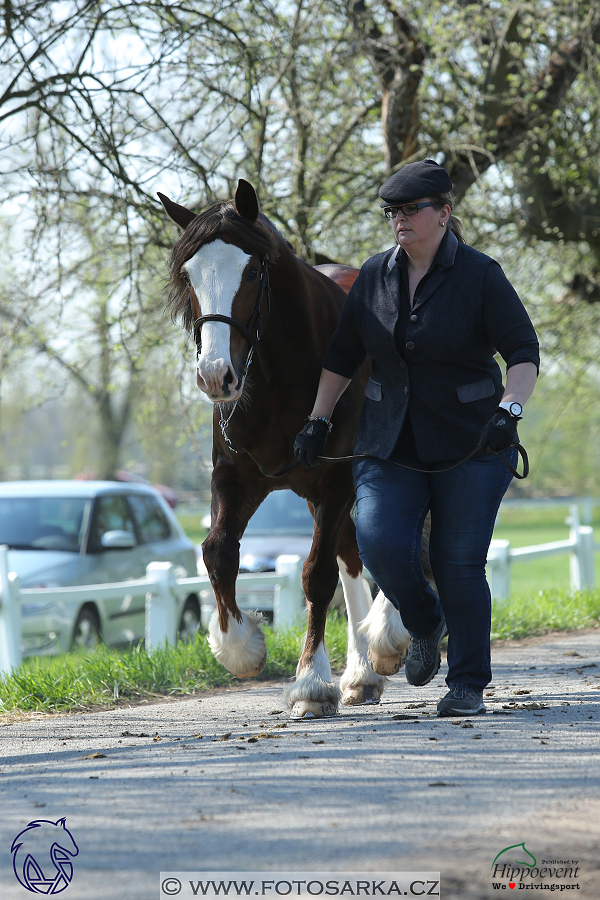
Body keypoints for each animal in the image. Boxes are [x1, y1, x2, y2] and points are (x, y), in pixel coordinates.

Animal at [161, 181, 412, 716]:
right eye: (189, 274)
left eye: (253, 271)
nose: (216, 375)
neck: (282, 378)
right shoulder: (236, 477)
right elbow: (217, 552)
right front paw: (240, 647)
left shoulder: (336, 479)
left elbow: (315, 574)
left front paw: (311, 682)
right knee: (353, 554)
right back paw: (360, 674)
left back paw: (386, 637)